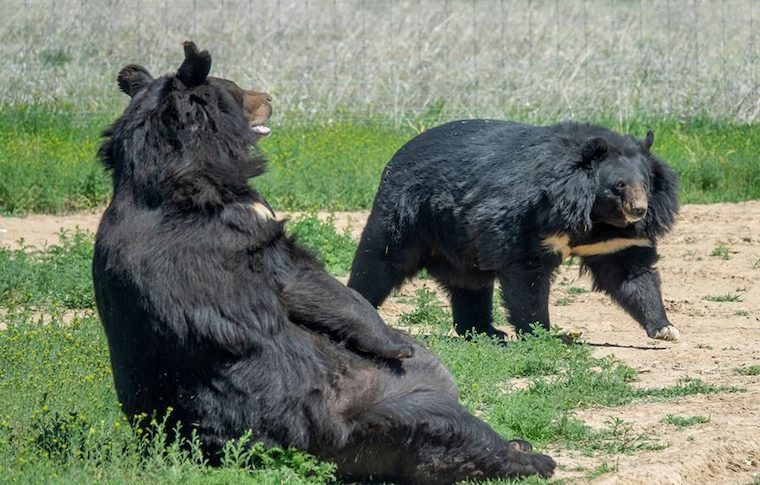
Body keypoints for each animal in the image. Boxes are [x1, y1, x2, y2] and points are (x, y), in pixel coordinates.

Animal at [92, 42, 555, 483]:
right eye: (239, 91)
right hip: (383, 410)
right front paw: (397, 341)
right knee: (456, 430)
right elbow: (308, 282)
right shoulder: (241, 230)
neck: (170, 174)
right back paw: (530, 456)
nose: (269, 97)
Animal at [348, 119, 680, 342]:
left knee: (470, 283)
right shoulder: (527, 218)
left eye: (646, 184)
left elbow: (631, 273)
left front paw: (666, 329)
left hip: (459, 239)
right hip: (408, 215)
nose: (639, 210)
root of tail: (397, 155)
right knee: (380, 260)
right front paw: (543, 333)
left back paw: (487, 331)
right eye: (618, 185)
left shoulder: (615, 240)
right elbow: (526, 275)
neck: (593, 216)